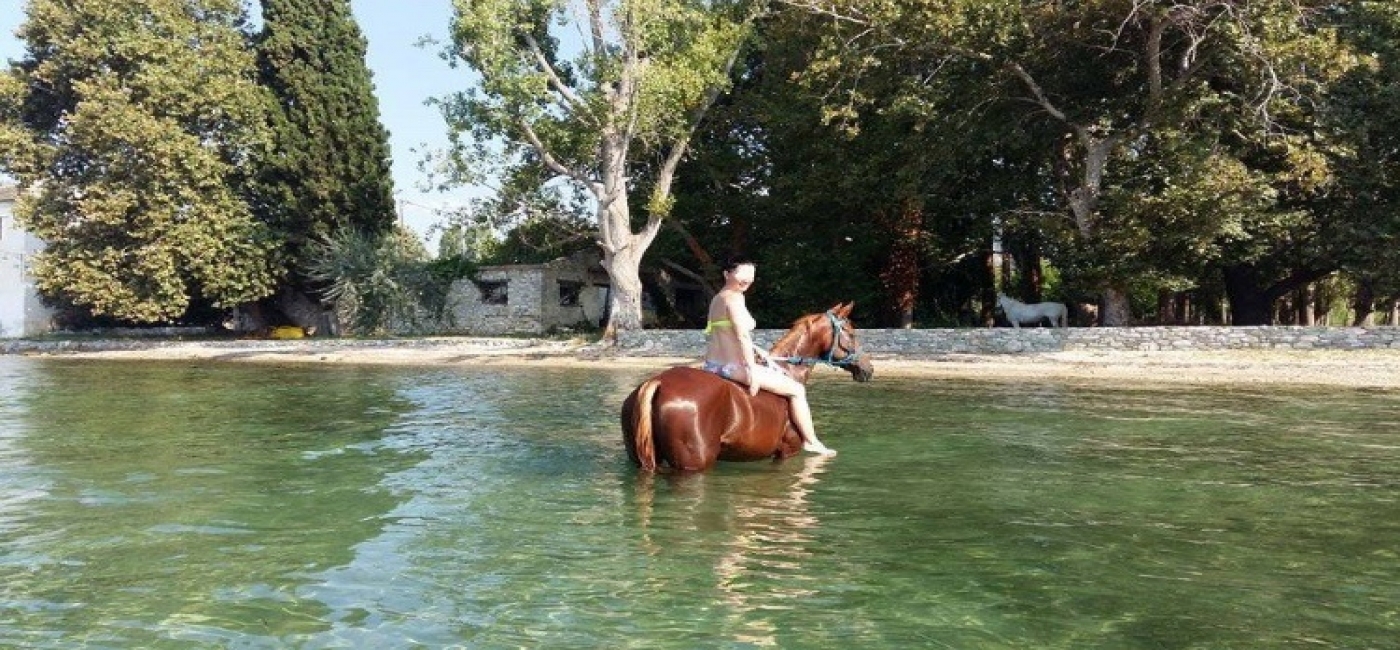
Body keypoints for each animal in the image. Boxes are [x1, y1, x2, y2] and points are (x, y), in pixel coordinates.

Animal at [624, 305, 873, 473]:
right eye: (851, 333)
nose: (868, 368)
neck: (786, 370)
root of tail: (658, 382)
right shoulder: (787, 452)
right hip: (693, 465)